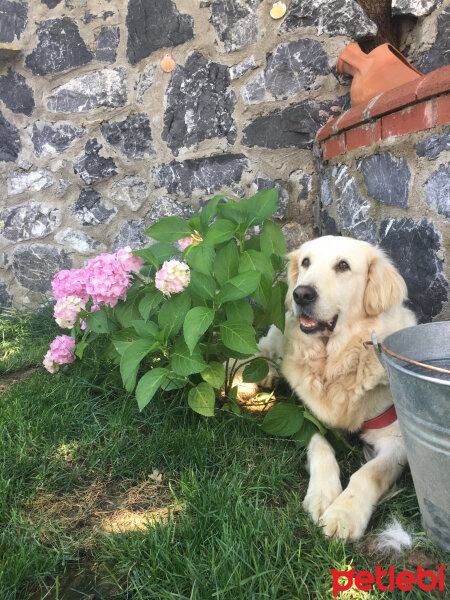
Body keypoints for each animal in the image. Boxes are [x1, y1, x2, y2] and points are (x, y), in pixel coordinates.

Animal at [255, 234, 416, 540]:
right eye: (306, 262)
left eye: (343, 266)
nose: (301, 294)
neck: (337, 363)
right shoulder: (304, 416)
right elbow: (321, 448)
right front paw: (322, 495)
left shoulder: (396, 440)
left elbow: (369, 473)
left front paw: (344, 514)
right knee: (261, 352)